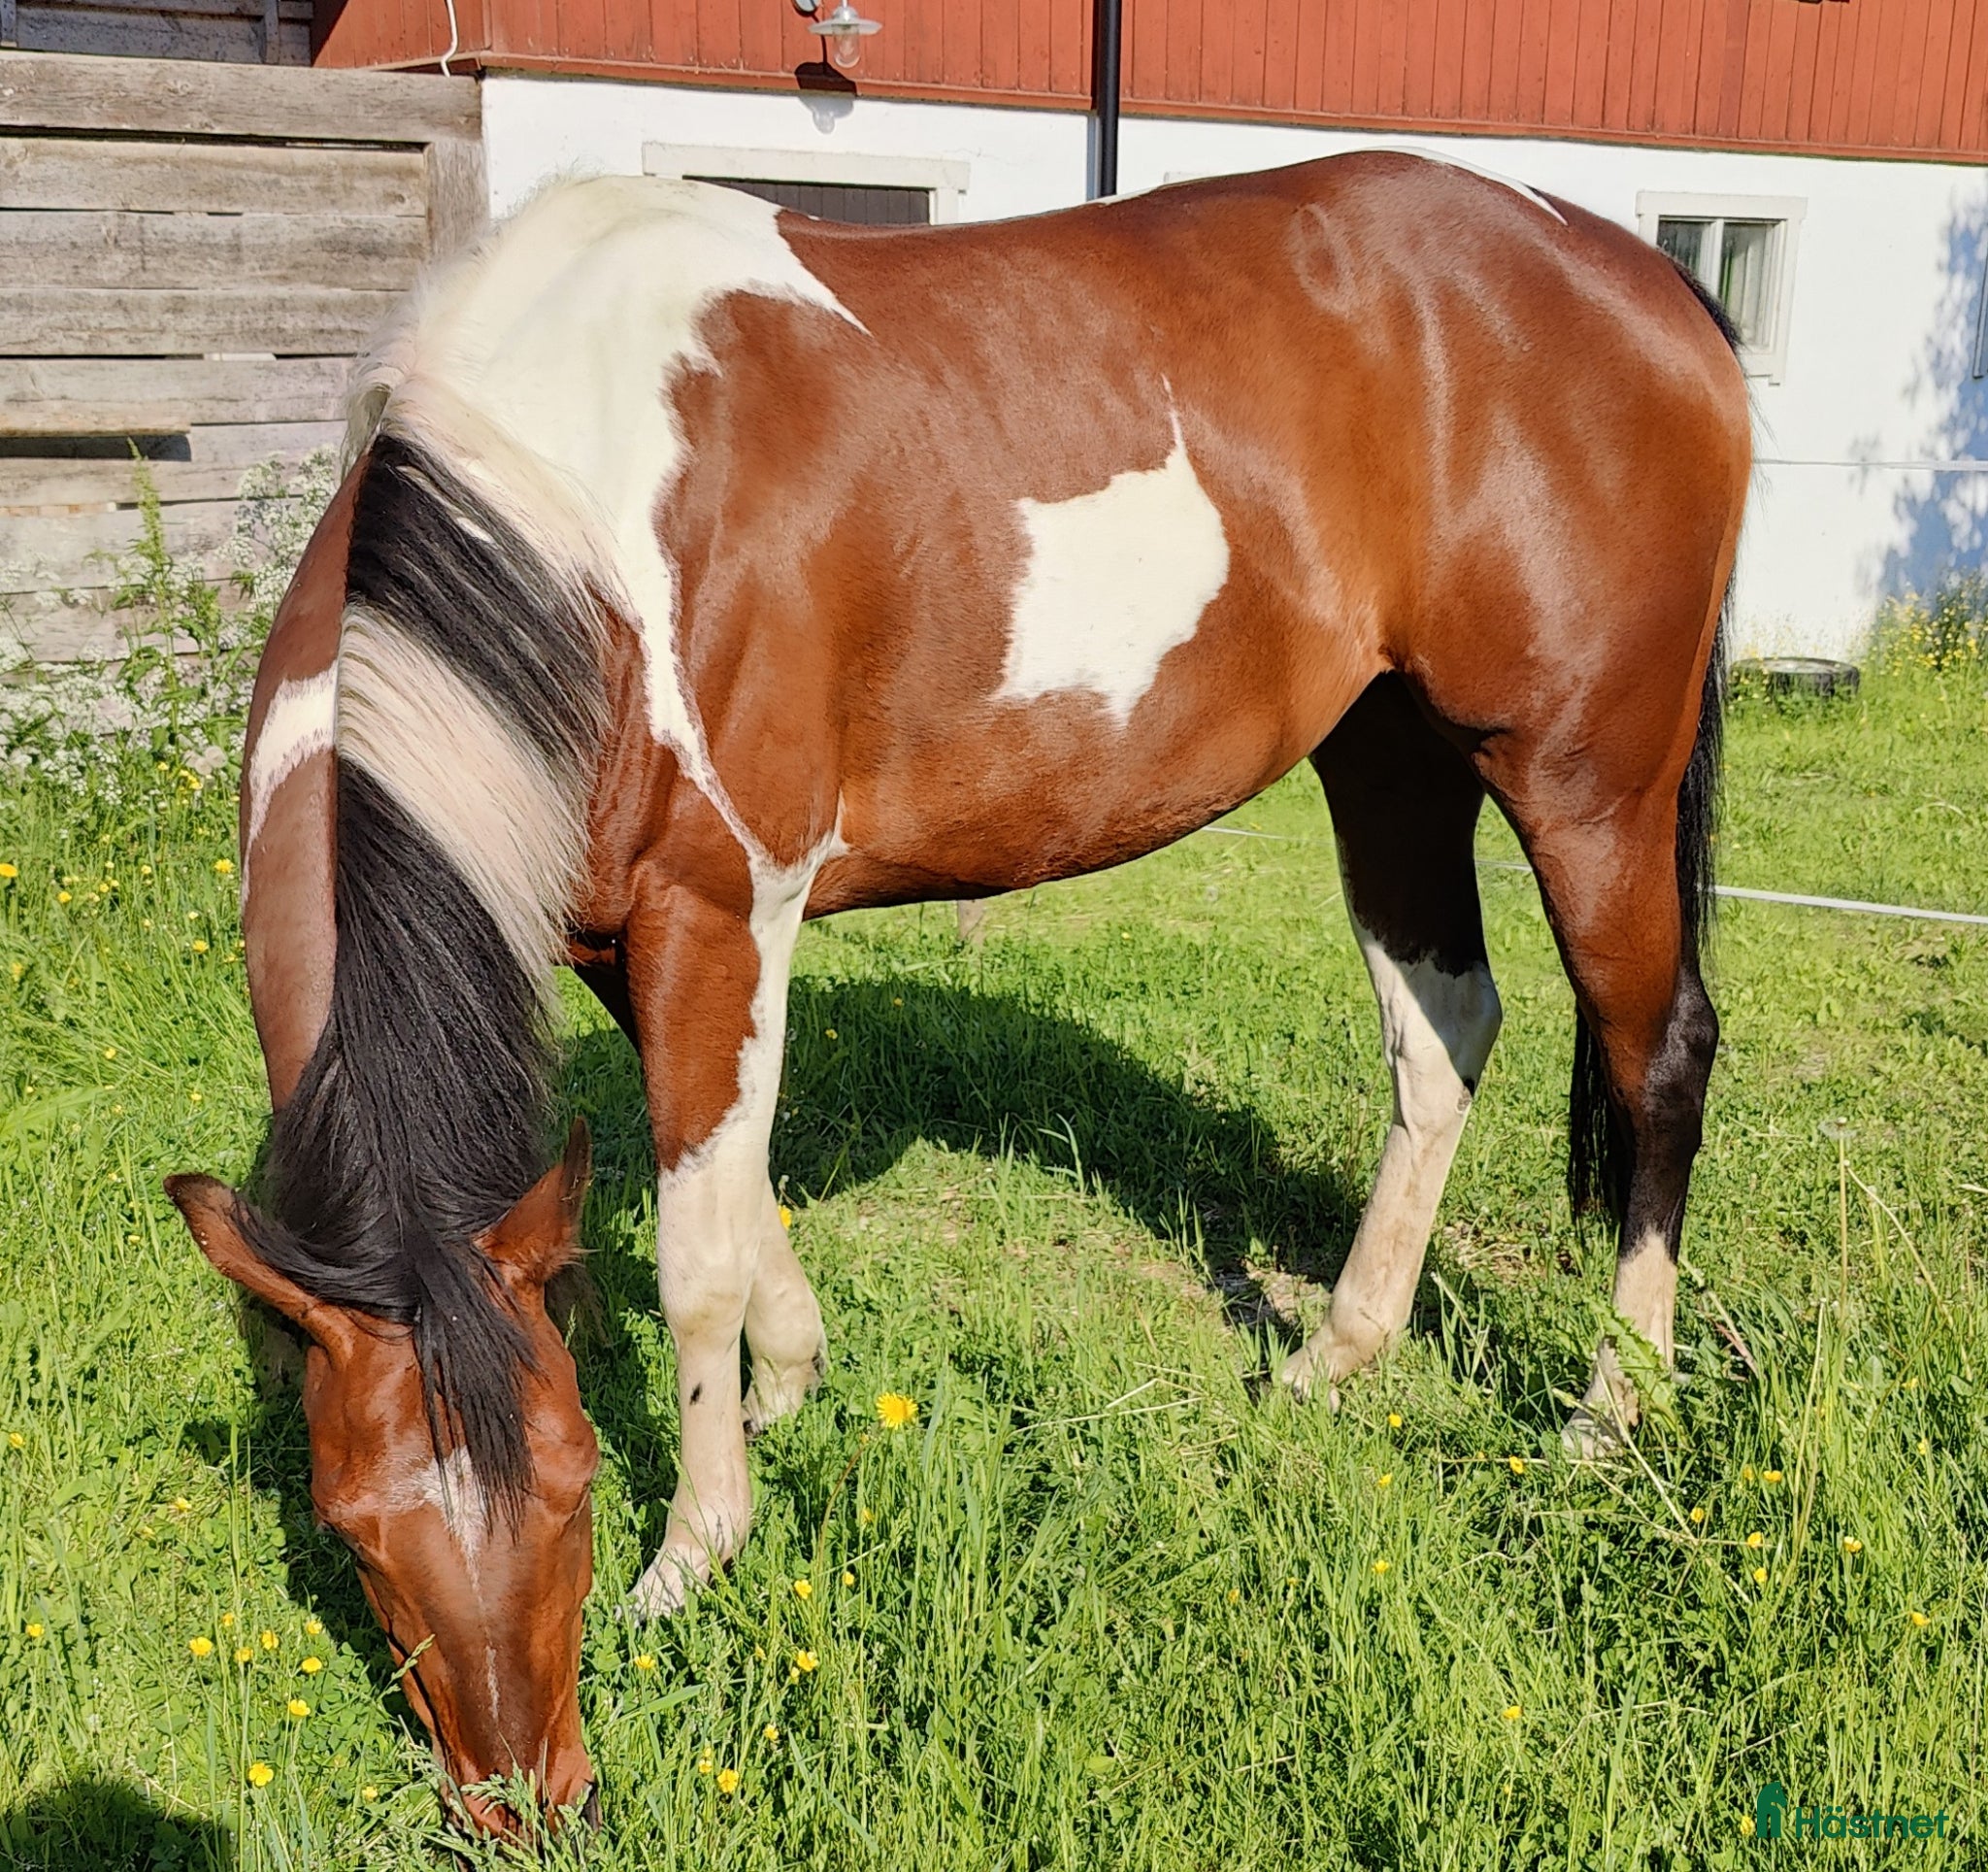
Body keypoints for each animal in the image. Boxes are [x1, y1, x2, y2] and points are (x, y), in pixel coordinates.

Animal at [166, 151, 1747, 1830]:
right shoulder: (629, 949)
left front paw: (698, 1548)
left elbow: (695, 1249)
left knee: (1657, 1057)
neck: (571, 503)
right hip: (1390, 756)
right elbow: (736, 1184)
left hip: (1587, 785)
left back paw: (1611, 1413)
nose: (528, 1800)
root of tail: (1636, 274)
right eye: (349, 1522)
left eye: (580, 1475)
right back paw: (1338, 1354)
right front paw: (790, 1380)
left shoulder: (716, 912)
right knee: (1441, 1035)